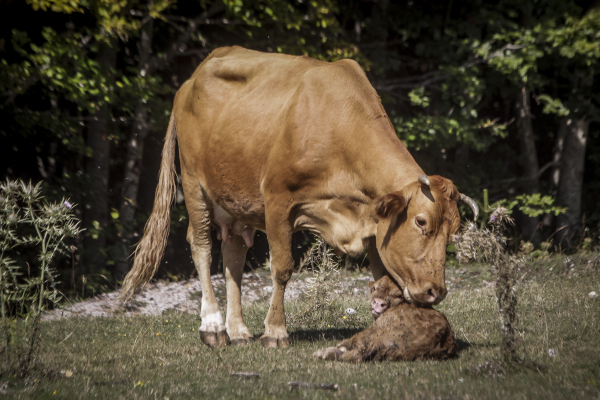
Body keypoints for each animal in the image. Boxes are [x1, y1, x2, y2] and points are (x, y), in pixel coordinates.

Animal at [120, 46, 478, 346]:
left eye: (454, 231)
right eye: (421, 222)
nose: (435, 292)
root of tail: (193, 77)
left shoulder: (374, 224)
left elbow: (382, 277)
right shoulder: (278, 200)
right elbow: (282, 268)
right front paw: (275, 331)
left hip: (233, 199)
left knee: (233, 255)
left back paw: (239, 331)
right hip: (195, 183)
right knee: (203, 247)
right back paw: (213, 326)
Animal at [312, 276, 458, 360]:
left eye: (398, 295)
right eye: (374, 288)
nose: (378, 302)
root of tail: (442, 334)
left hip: (377, 334)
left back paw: (322, 353)